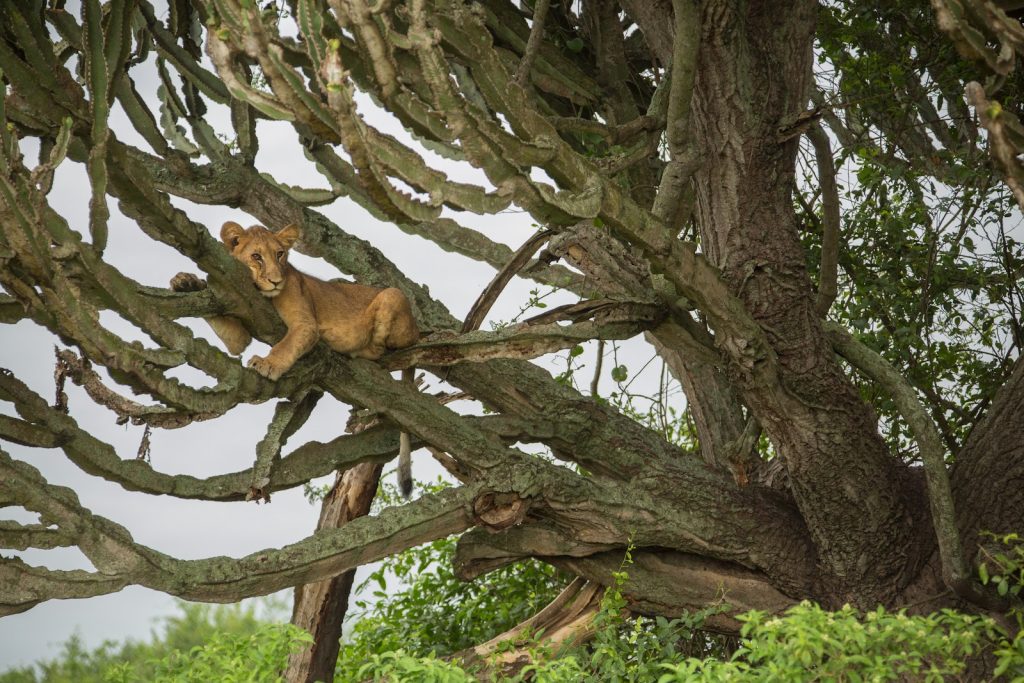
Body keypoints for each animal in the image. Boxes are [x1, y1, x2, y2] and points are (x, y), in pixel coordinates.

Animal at [171, 221, 419, 496]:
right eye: (256, 256)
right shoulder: (238, 324)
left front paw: (266, 364)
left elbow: (285, 346)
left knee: (379, 348)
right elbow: (233, 336)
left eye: (280, 254)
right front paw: (185, 282)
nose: (276, 281)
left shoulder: (305, 325)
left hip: (393, 295)